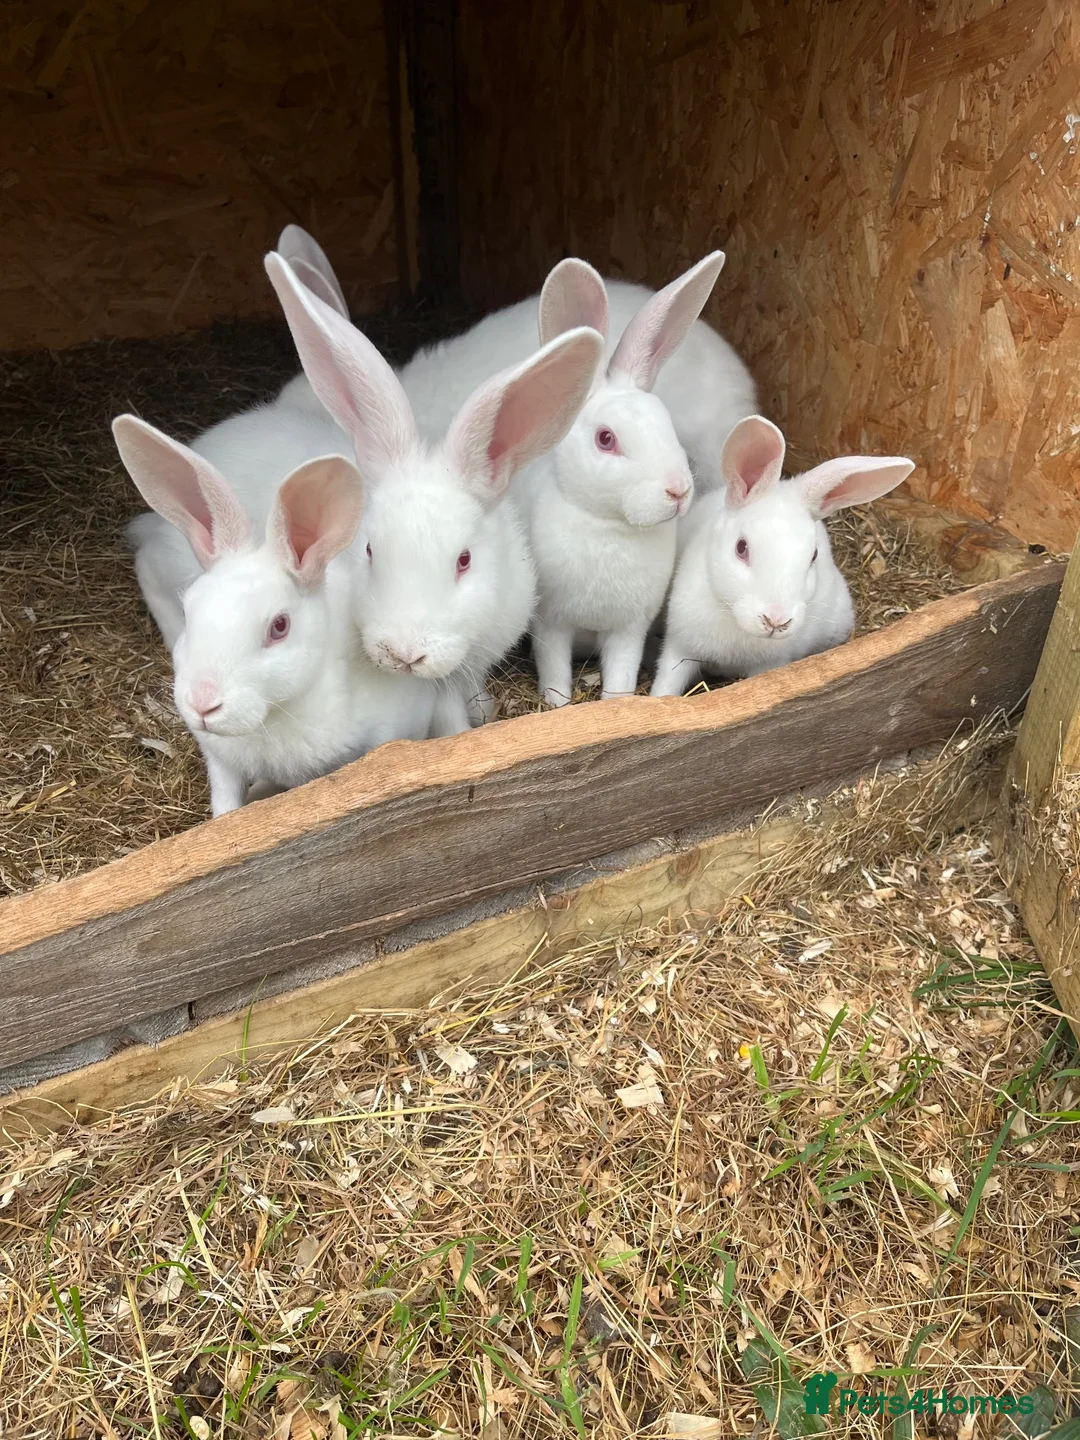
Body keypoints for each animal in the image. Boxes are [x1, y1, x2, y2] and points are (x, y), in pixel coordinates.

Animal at [114, 415, 436, 816]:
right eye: (189, 612)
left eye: (279, 627)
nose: (203, 704)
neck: (272, 716)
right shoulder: (220, 762)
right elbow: (226, 808)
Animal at [264, 249, 605, 736]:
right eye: (369, 551)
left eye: (464, 561)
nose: (405, 653)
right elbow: (448, 718)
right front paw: (465, 731)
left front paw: (484, 711)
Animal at [651, 416, 915, 696]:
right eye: (741, 548)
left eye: (814, 556)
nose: (776, 621)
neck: (735, 620)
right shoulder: (679, 648)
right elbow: (666, 685)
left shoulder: (770, 663)